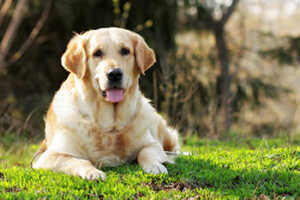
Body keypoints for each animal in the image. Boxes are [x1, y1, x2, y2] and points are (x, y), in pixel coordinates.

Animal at [31, 27, 179, 180]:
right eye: (97, 53)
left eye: (125, 51)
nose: (114, 74)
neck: (110, 127)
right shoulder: (47, 157)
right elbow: (79, 161)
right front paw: (92, 172)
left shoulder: (152, 144)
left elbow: (145, 152)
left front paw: (155, 166)